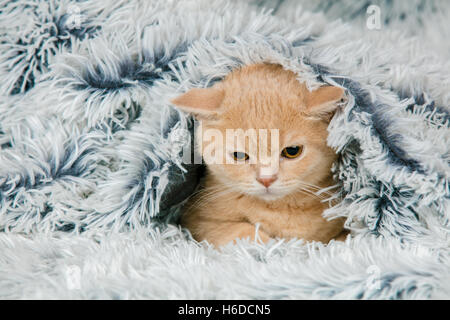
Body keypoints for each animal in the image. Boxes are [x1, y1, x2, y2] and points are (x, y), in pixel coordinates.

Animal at [171, 63, 348, 248]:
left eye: (292, 151)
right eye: (239, 155)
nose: (266, 179)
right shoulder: (200, 222)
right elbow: (242, 232)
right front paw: (271, 245)